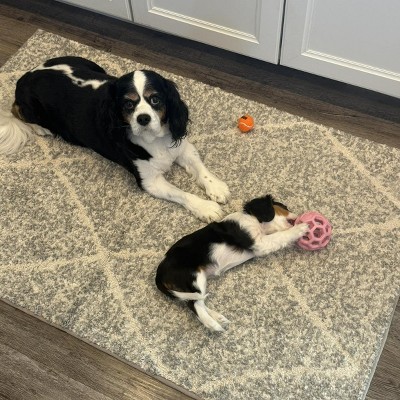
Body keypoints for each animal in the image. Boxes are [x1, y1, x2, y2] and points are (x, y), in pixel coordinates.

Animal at [0, 56, 229, 222]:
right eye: (128, 104)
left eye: (155, 99)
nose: (143, 118)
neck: (154, 140)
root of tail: (26, 76)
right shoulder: (150, 181)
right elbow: (180, 193)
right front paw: (206, 207)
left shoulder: (181, 147)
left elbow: (200, 168)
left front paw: (216, 188)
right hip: (32, 108)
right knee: (17, 112)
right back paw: (41, 129)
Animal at [156, 195, 309, 332]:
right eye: (284, 207)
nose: (299, 216)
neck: (254, 220)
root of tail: (160, 271)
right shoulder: (259, 243)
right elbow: (280, 236)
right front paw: (301, 228)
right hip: (194, 278)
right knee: (195, 305)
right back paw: (213, 325)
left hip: (197, 282)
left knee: (196, 302)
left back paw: (217, 317)